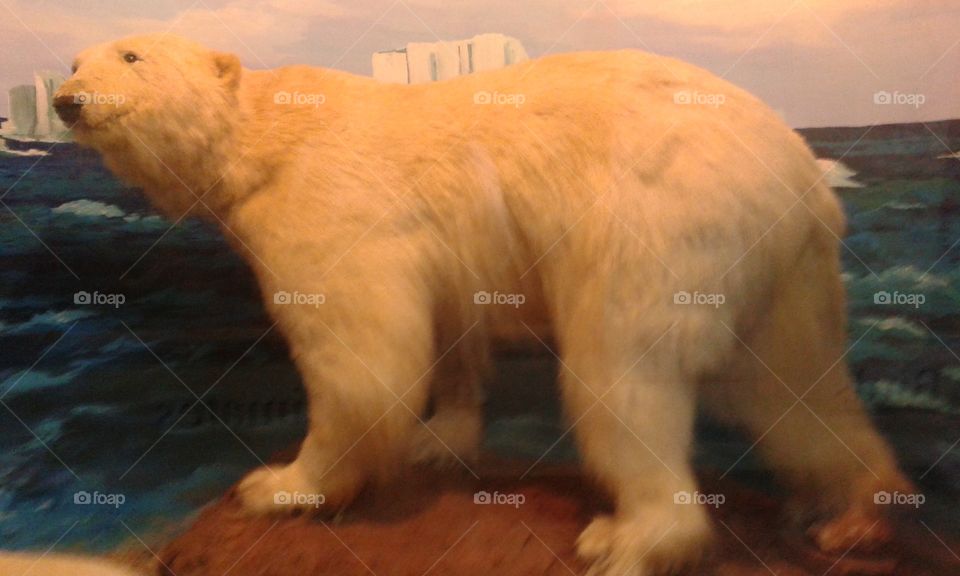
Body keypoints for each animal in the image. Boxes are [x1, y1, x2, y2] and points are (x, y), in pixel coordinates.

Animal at [54, 34, 914, 575]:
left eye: (130, 54)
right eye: (72, 58)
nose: (64, 99)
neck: (265, 136)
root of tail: (800, 173)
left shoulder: (324, 205)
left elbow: (360, 358)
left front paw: (280, 485)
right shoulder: (438, 251)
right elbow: (446, 333)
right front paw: (440, 437)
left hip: (658, 223)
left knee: (624, 374)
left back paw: (630, 538)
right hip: (783, 268)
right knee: (792, 385)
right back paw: (855, 511)